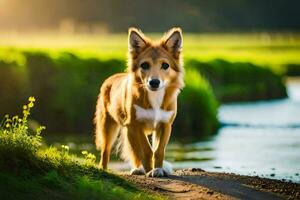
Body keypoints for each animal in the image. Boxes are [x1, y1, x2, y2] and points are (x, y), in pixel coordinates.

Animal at [94, 27, 184, 177]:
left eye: (165, 65)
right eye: (145, 65)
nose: (154, 82)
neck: (154, 97)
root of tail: (111, 78)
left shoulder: (165, 125)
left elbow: (158, 151)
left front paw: (157, 169)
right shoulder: (135, 125)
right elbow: (146, 151)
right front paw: (148, 171)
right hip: (109, 126)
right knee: (106, 151)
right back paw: (110, 169)